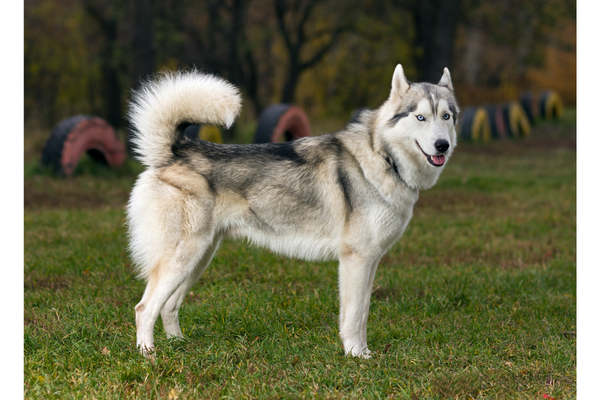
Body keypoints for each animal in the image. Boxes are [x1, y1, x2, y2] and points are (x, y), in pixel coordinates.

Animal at [126, 64, 460, 358]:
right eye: (420, 117)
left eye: (446, 116)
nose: (442, 145)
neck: (383, 157)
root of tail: (176, 150)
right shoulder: (356, 260)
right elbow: (354, 318)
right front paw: (357, 356)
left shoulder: (370, 262)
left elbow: (361, 313)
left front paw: (360, 351)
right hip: (183, 259)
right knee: (144, 309)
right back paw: (149, 356)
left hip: (198, 259)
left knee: (168, 306)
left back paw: (178, 345)